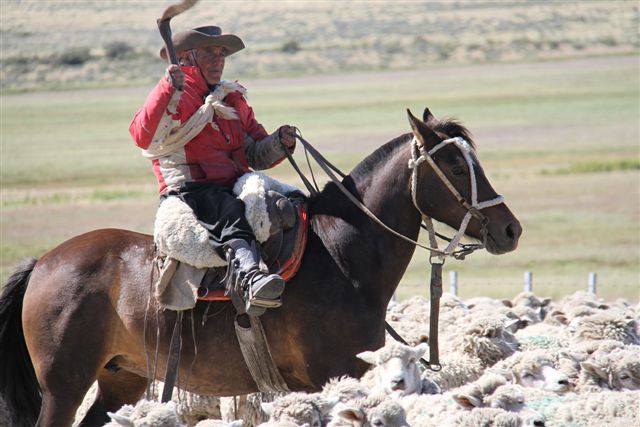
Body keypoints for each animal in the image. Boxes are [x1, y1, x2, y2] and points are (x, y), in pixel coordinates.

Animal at [0, 108, 520, 427]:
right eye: (456, 166)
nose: (510, 229)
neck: (340, 255)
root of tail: (44, 262)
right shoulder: (337, 373)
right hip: (64, 386)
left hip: (119, 379)